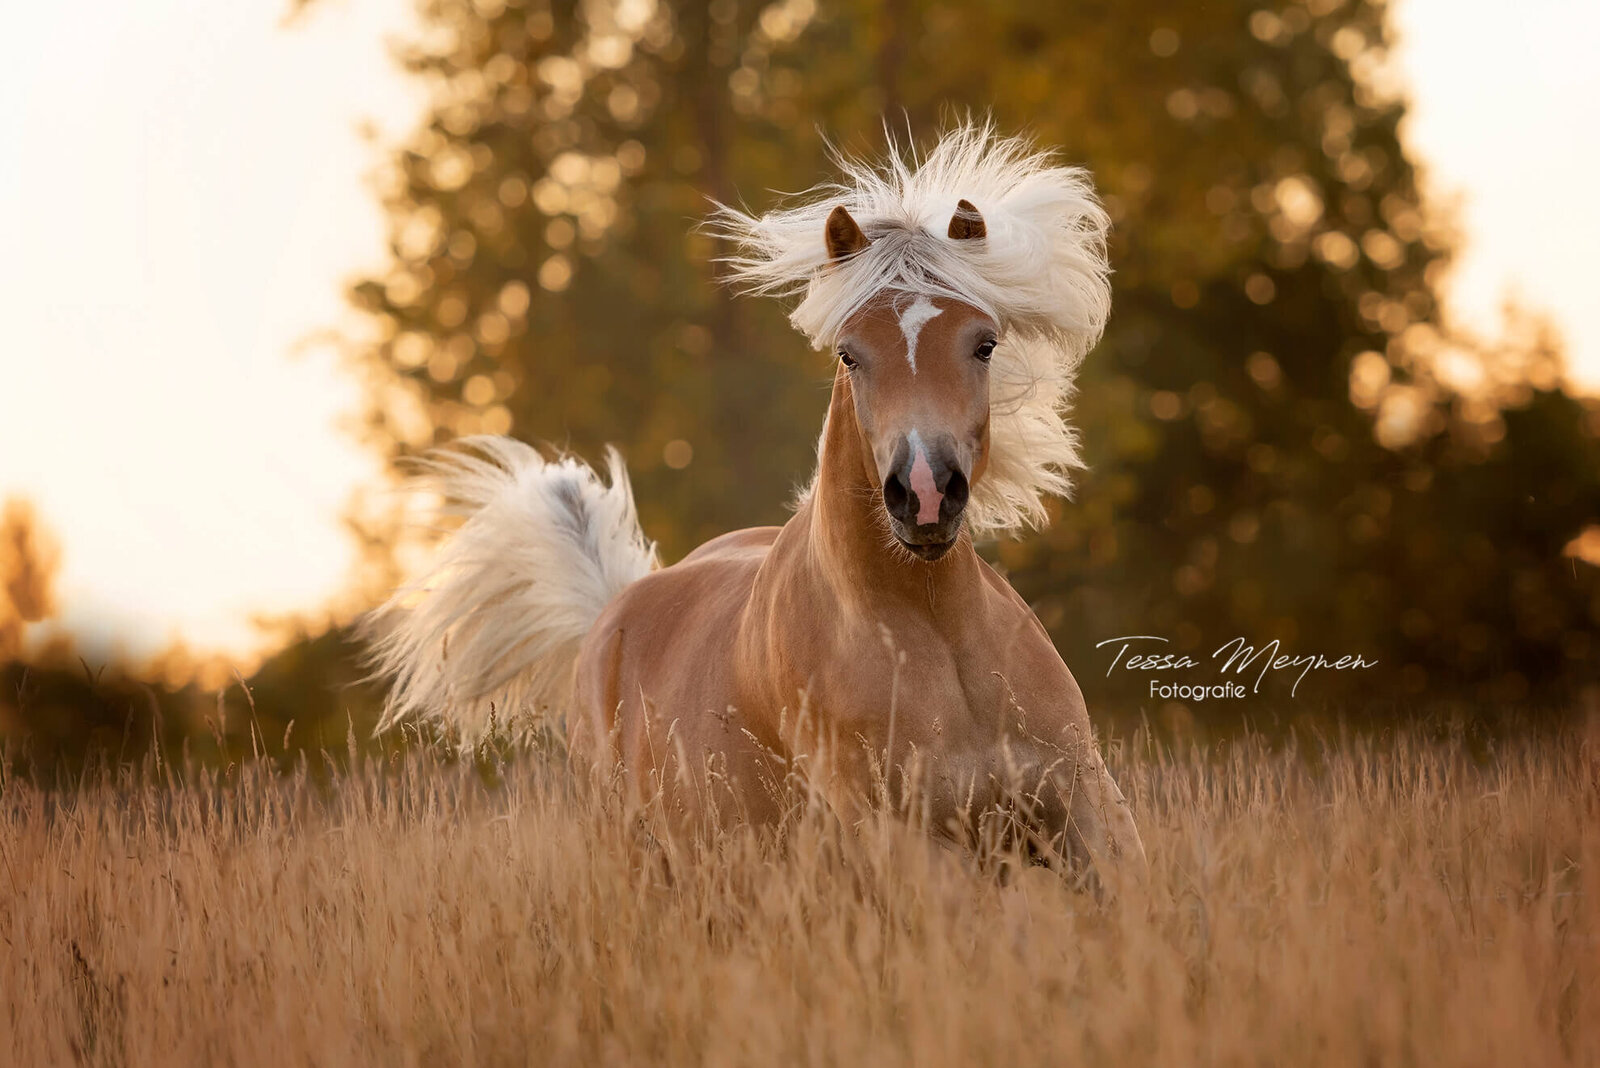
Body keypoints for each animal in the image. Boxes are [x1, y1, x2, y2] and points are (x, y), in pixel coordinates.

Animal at [371, 120, 1152, 882]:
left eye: (985, 343)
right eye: (849, 354)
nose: (926, 494)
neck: (936, 635)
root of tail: (611, 612)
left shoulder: (1088, 810)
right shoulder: (914, 846)